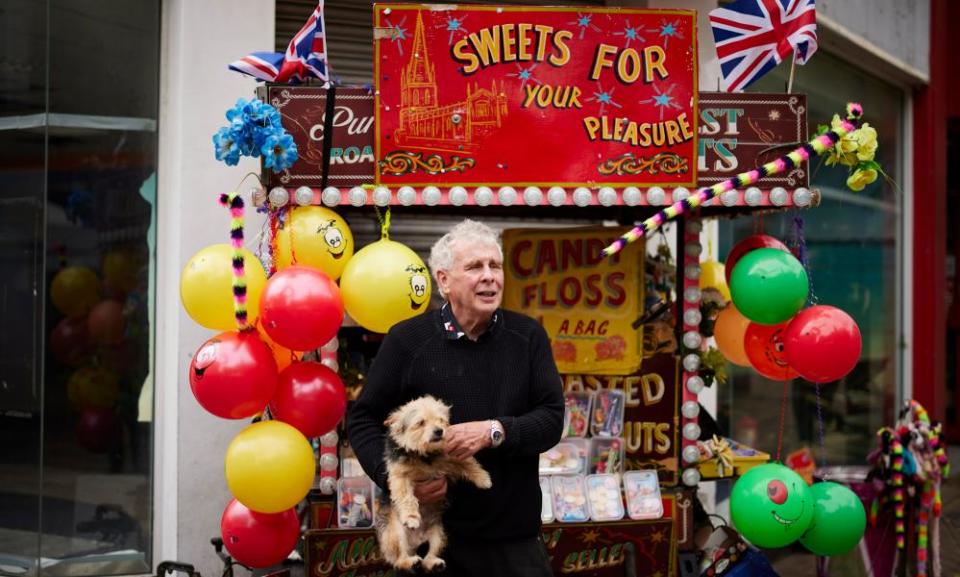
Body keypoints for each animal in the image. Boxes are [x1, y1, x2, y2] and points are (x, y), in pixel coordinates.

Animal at [376, 394, 496, 568]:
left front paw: (483, 479)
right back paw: (410, 561)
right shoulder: (400, 476)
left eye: (441, 420)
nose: (440, 431)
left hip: (438, 533)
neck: (425, 455)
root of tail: (415, 543)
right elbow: (406, 497)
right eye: (421, 422)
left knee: (429, 557)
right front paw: (411, 517)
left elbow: (468, 462)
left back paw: (434, 563)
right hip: (395, 534)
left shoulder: (450, 457)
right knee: (399, 559)